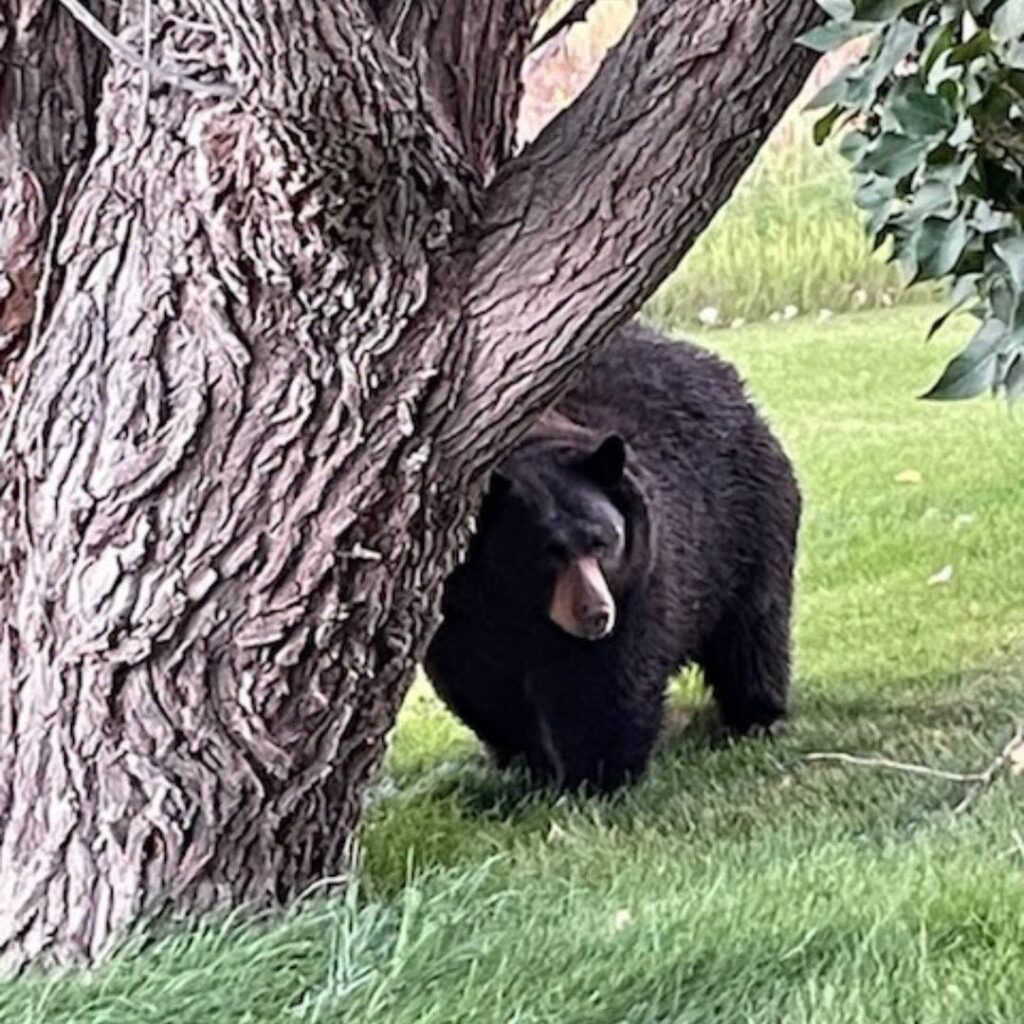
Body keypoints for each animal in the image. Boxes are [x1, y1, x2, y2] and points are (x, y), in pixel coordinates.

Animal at [424, 321, 801, 792]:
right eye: (547, 553)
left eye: (604, 541)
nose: (596, 614)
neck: (522, 610)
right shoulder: (458, 606)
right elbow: (480, 684)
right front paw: (526, 762)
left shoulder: (641, 578)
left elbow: (606, 683)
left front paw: (598, 776)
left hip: (748, 525)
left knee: (753, 629)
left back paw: (756, 716)